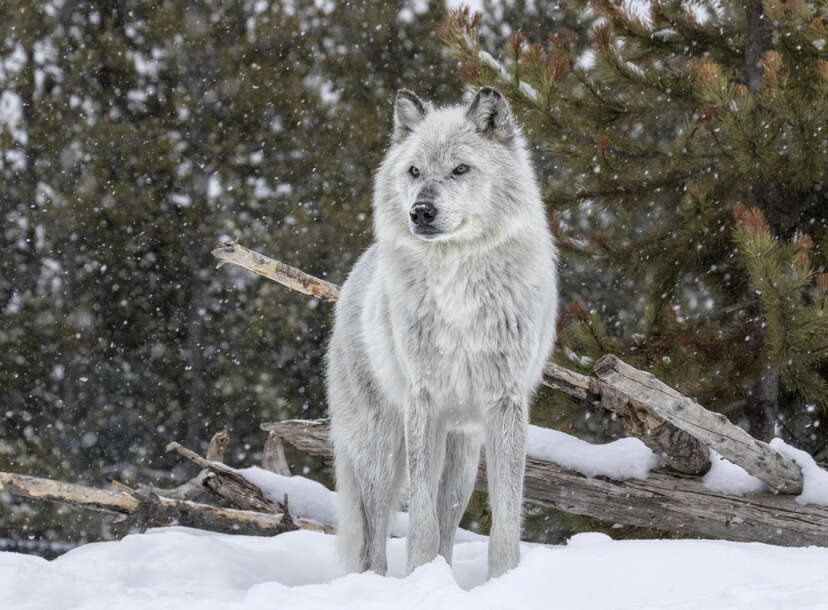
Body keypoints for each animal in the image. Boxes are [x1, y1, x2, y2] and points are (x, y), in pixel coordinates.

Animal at [326, 87, 558, 579]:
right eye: (415, 171)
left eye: (460, 169)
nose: (421, 211)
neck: (458, 285)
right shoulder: (424, 402)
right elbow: (420, 524)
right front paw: (419, 577)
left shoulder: (505, 404)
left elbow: (505, 521)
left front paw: (503, 580)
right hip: (380, 450)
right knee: (373, 538)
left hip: (463, 457)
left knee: (448, 514)